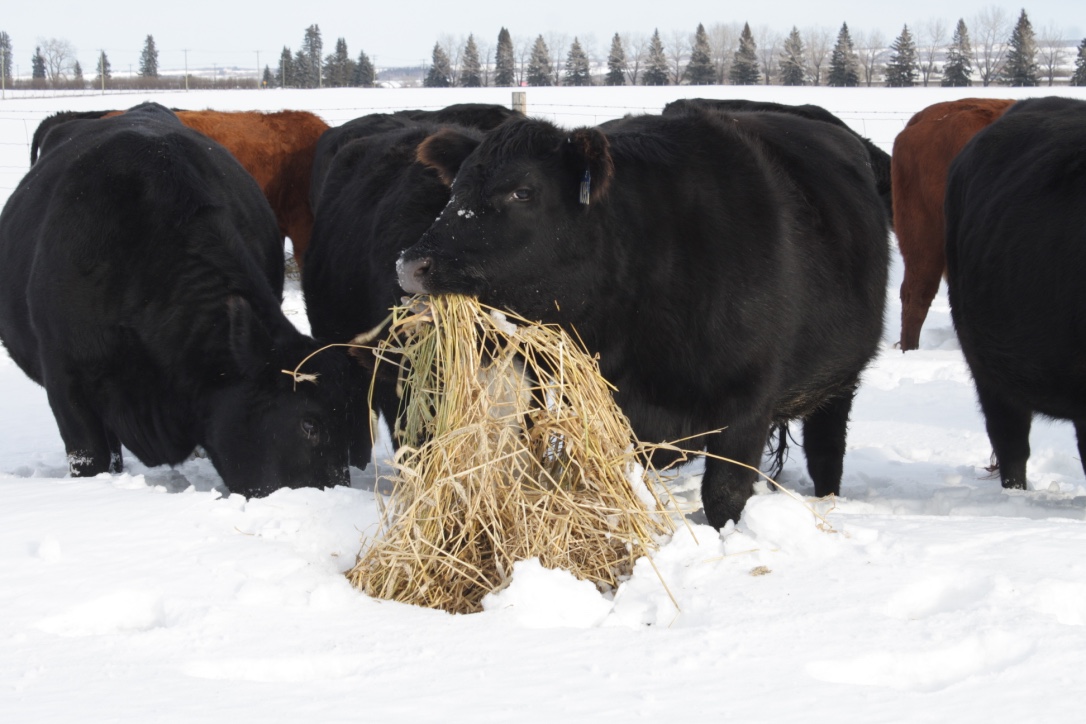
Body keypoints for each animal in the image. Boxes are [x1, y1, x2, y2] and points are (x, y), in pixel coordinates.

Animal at [396, 109, 889, 528]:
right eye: (455, 190)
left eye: (523, 191)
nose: (411, 264)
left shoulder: (747, 403)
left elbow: (724, 495)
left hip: (839, 384)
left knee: (826, 452)